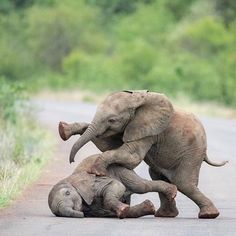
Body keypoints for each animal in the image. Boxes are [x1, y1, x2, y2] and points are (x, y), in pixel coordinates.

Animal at [48, 154, 177, 218]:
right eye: (57, 212)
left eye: (67, 193)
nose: (82, 215)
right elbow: (106, 211)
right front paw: (126, 210)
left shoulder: (96, 181)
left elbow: (117, 185)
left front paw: (123, 210)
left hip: (119, 169)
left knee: (141, 186)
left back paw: (172, 191)